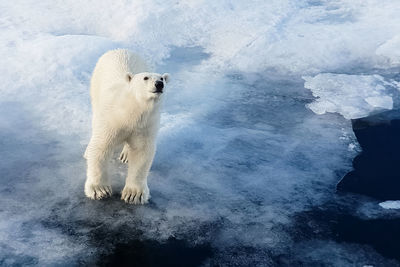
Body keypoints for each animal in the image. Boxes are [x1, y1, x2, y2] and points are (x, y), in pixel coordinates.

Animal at [85, 49, 170, 205]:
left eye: (162, 78)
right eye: (145, 78)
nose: (159, 84)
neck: (130, 111)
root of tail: (120, 49)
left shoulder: (145, 126)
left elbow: (141, 153)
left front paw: (133, 194)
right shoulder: (111, 120)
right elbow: (101, 147)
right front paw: (99, 190)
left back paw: (125, 155)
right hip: (96, 86)